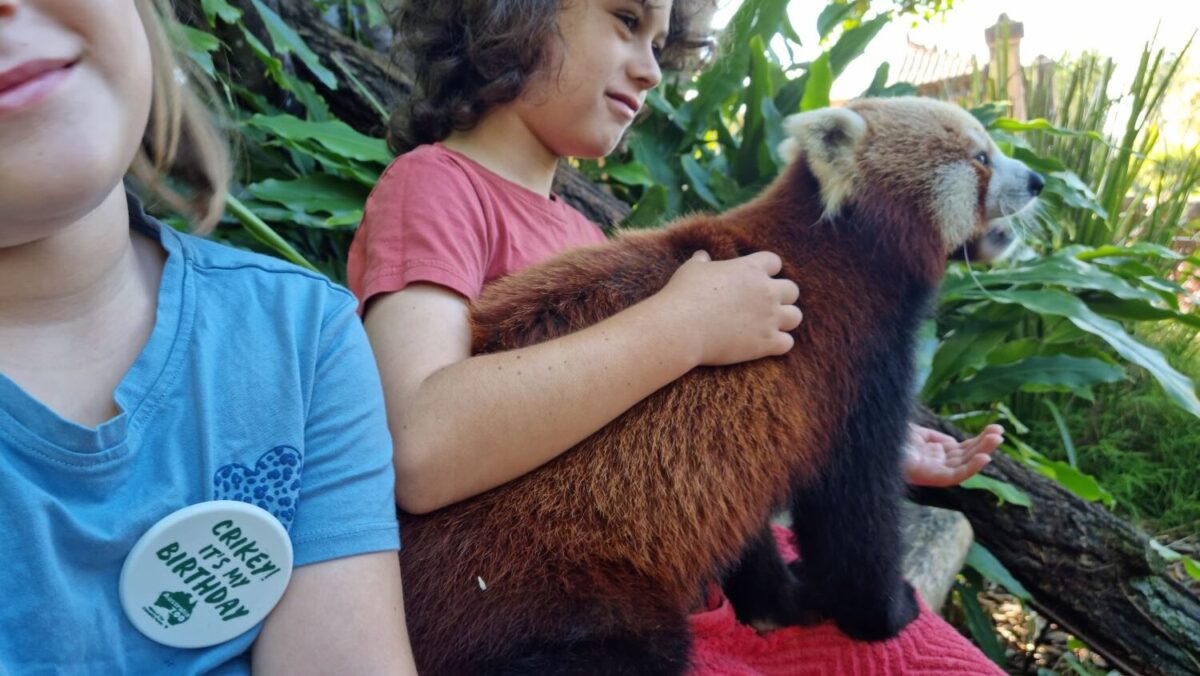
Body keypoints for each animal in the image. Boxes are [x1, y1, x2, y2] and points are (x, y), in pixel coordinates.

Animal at [397, 96, 1044, 675]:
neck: (848, 250)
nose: (1037, 179)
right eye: (981, 157)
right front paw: (884, 610)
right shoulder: (854, 365)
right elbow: (853, 511)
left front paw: (778, 601)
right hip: (543, 584)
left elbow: (749, 520)